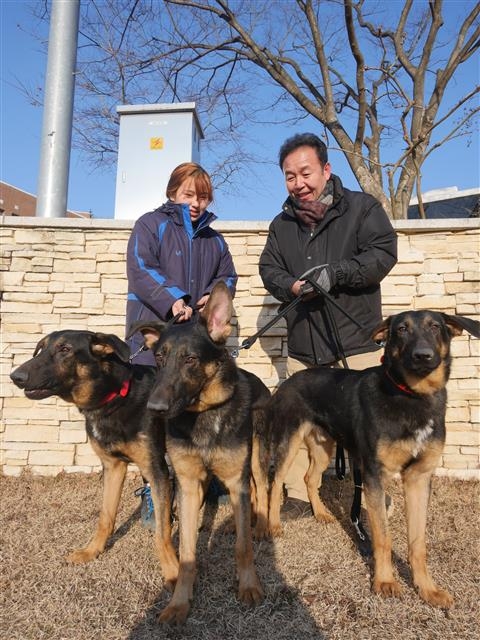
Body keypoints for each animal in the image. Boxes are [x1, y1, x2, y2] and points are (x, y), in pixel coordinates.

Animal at [10, 330, 179, 592]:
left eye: (65, 349)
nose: (15, 377)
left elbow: (162, 534)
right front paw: (93, 550)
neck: (115, 398)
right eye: (41, 348)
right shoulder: (113, 467)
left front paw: (173, 573)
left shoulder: (156, 470)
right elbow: (105, 516)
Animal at [130, 282, 266, 628]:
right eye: (159, 358)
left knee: (262, 490)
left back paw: (260, 524)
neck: (204, 413)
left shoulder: (236, 477)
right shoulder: (188, 485)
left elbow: (243, 547)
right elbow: (187, 553)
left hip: (256, 459)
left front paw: (249, 585)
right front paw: (179, 602)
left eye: (190, 359)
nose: (155, 408)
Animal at [268, 312, 478, 608]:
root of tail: (289, 380)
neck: (413, 396)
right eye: (401, 329)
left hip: (324, 446)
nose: (422, 356)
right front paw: (385, 582)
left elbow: (418, 543)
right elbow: (383, 539)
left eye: (435, 327)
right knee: (275, 483)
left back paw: (321, 513)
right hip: (289, 443)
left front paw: (427, 588)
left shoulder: (419, 478)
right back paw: (272, 525)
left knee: (310, 477)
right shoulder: (375, 477)